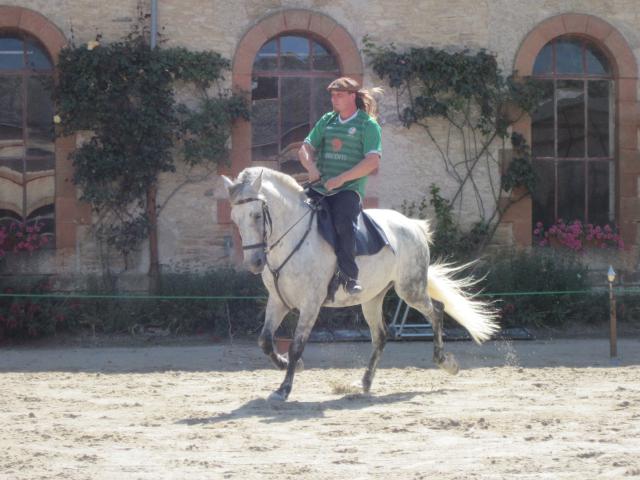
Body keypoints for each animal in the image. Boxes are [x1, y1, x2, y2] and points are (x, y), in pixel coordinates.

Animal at [221, 167, 500, 400]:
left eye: (257, 215)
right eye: (234, 218)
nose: (255, 262)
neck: (293, 238)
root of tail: (413, 226)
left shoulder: (310, 303)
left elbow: (296, 346)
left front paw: (284, 388)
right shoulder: (278, 300)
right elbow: (265, 341)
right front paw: (289, 367)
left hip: (409, 289)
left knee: (437, 311)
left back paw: (445, 362)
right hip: (372, 298)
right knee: (381, 336)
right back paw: (365, 382)